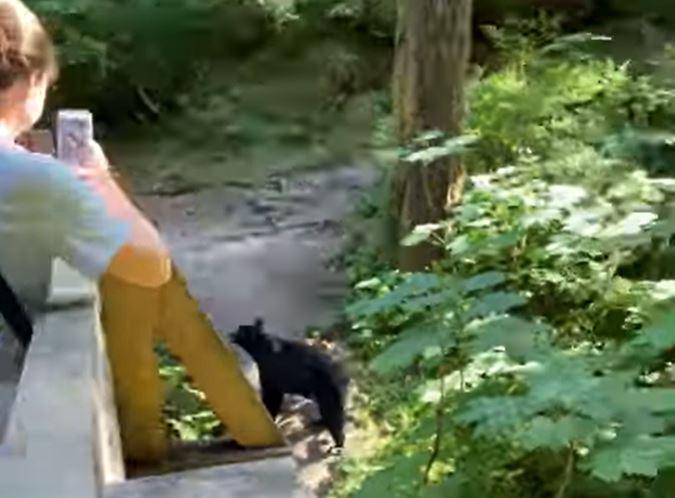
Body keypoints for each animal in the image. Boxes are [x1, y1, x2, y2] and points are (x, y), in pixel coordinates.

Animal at [229, 318, 348, 448]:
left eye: (242, 330)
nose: (232, 333)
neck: (262, 348)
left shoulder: (272, 388)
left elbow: (270, 405)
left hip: (327, 397)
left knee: (334, 420)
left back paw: (337, 444)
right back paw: (320, 423)